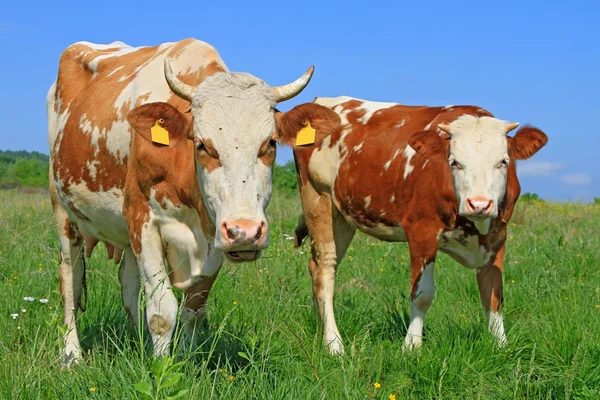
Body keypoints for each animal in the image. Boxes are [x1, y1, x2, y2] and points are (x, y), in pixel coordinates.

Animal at [47, 39, 332, 364]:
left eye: (270, 143)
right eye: (202, 144)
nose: (245, 232)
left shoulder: (214, 234)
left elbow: (194, 310)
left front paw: (184, 359)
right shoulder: (143, 220)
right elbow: (162, 311)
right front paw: (160, 366)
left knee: (128, 282)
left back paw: (136, 340)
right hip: (62, 210)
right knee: (70, 280)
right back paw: (72, 355)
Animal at [290, 96, 548, 354]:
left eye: (503, 162)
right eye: (454, 162)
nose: (479, 204)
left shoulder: (498, 235)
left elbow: (493, 293)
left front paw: (500, 345)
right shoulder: (421, 231)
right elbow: (422, 294)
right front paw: (412, 345)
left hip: (343, 218)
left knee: (317, 267)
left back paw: (320, 329)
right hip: (317, 198)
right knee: (325, 269)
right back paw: (334, 343)